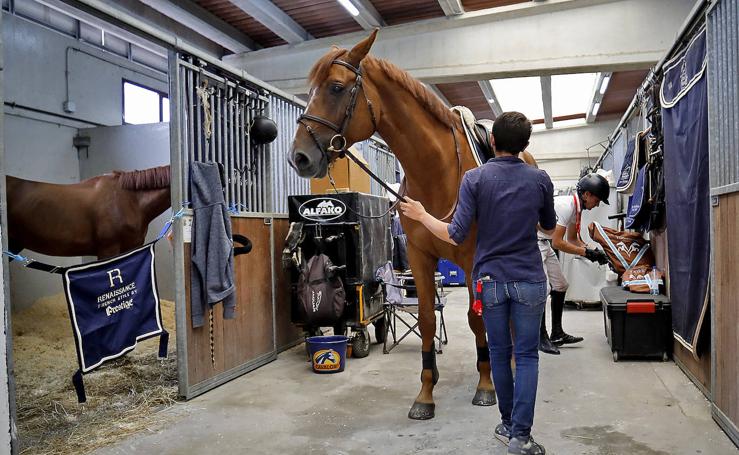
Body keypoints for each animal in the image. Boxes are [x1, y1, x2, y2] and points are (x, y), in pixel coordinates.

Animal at [290, 29, 536, 420]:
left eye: (336, 87)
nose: (298, 157)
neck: (438, 170)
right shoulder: (420, 258)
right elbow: (427, 319)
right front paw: (425, 394)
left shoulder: (471, 261)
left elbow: (477, 319)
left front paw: (486, 385)